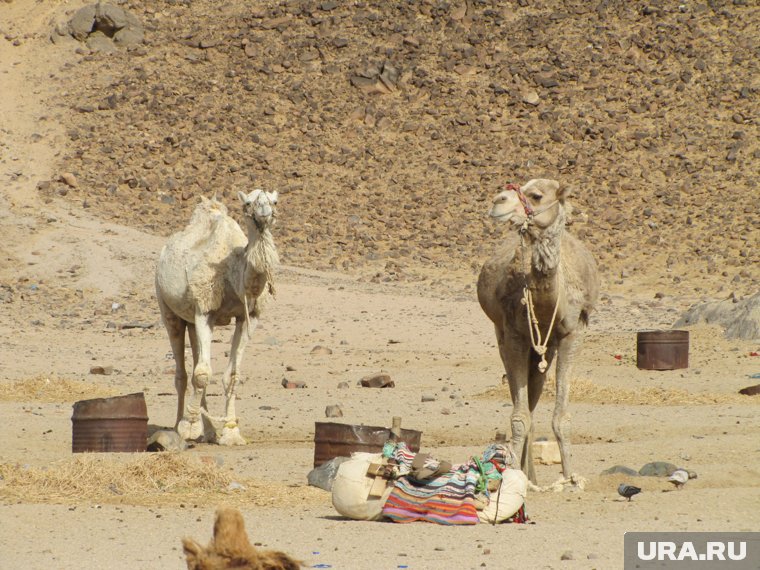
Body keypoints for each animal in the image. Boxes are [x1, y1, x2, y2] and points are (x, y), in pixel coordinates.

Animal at [155, 191, 280, 444]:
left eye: (274, 201)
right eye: (248, 202)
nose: (264, 212)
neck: (234, 273)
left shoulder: (249, 316)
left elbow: (231, 375)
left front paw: (231, 432)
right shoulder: (205, 310)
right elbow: (202, 374)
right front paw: (189, 427)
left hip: (191, 319)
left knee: (195, 359)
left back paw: (210, 431)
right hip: (168, 309)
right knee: (183, 372)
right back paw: (178, 425)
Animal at [478, 179, 596, 488]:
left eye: (537, 195)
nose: (498, 201)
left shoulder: (572, 335)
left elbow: (561, 417)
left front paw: (569, 477)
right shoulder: (514, 335)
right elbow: (519, 417)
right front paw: (510, 474)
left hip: (546, 348)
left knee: (534, 397)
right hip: (503, 336)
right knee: (524, 405)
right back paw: (525, 473)